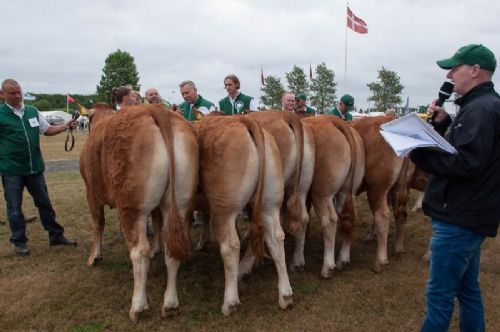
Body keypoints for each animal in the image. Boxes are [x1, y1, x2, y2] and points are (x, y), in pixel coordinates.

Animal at [79, 102, 197, 320]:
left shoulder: (91, 190)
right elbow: (156, 223)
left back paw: (138, 306)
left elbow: (98, 223)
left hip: (132, 208)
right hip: (180, 203)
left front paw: (94, 257)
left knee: (139, 252)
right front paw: (155, 250)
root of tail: (157, 109)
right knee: (172, 249)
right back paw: (170, 305)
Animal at [195, 115, 292, 316]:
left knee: (231, 246)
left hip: (224, 209)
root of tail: (243, 119)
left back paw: (230, 302)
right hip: (269, 205)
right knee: (277, 239)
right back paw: (286, 296)